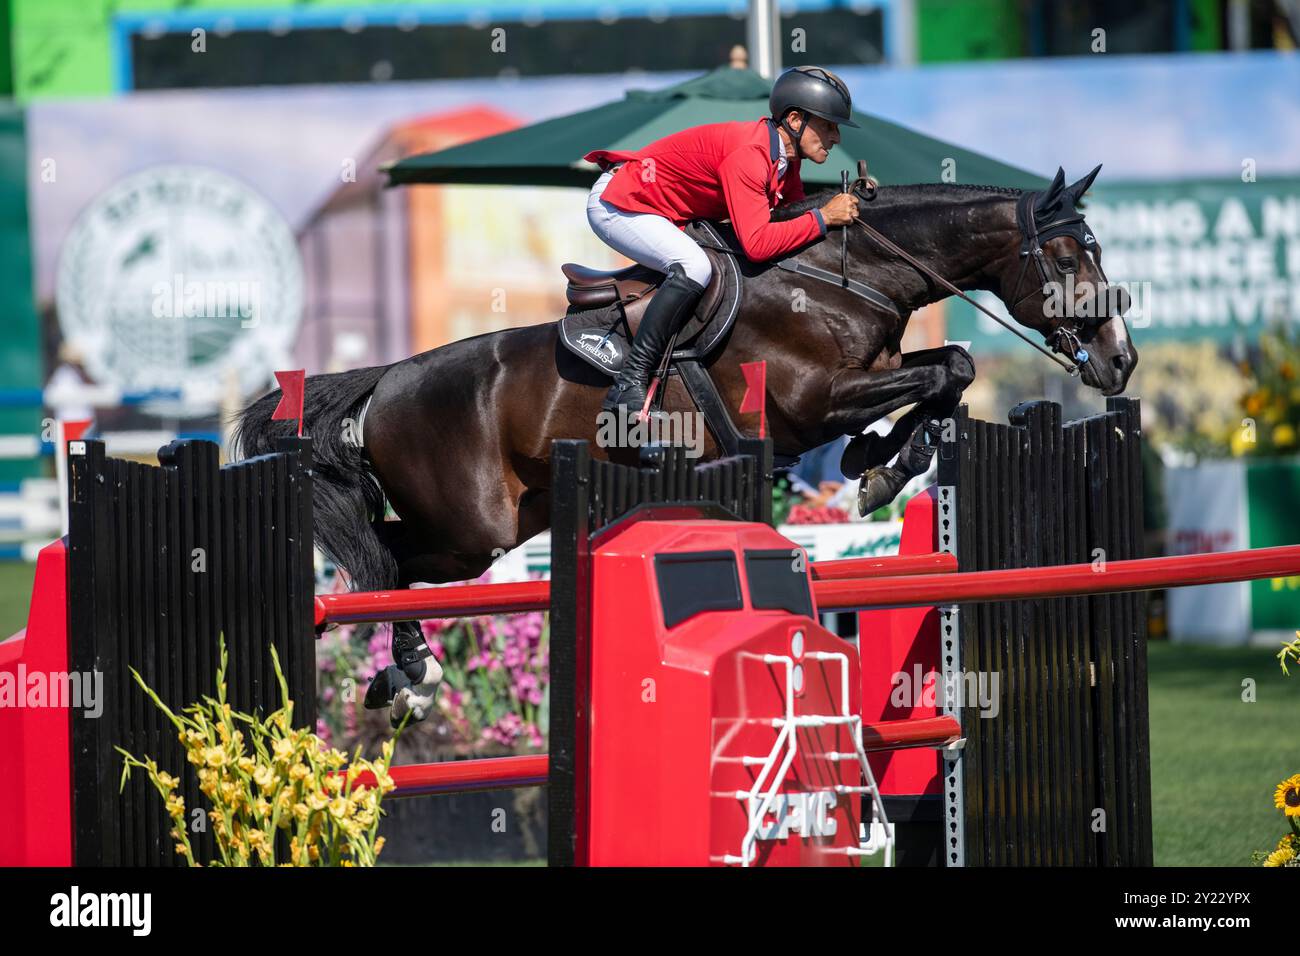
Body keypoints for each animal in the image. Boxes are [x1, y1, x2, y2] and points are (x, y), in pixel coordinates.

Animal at [236, 170, 1138, 723]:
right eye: (1068, 254)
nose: (1122, 360)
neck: (842, 276)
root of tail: (386, 380)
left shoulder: (871, 376)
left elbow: (950, 368)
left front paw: (880, 465)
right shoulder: (812, 401)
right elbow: (945, 370)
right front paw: (878, 466)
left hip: (506, 522)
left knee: (392, 563)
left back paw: (401, 678)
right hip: (470, 524)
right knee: (386, 563)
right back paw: (411, 676)